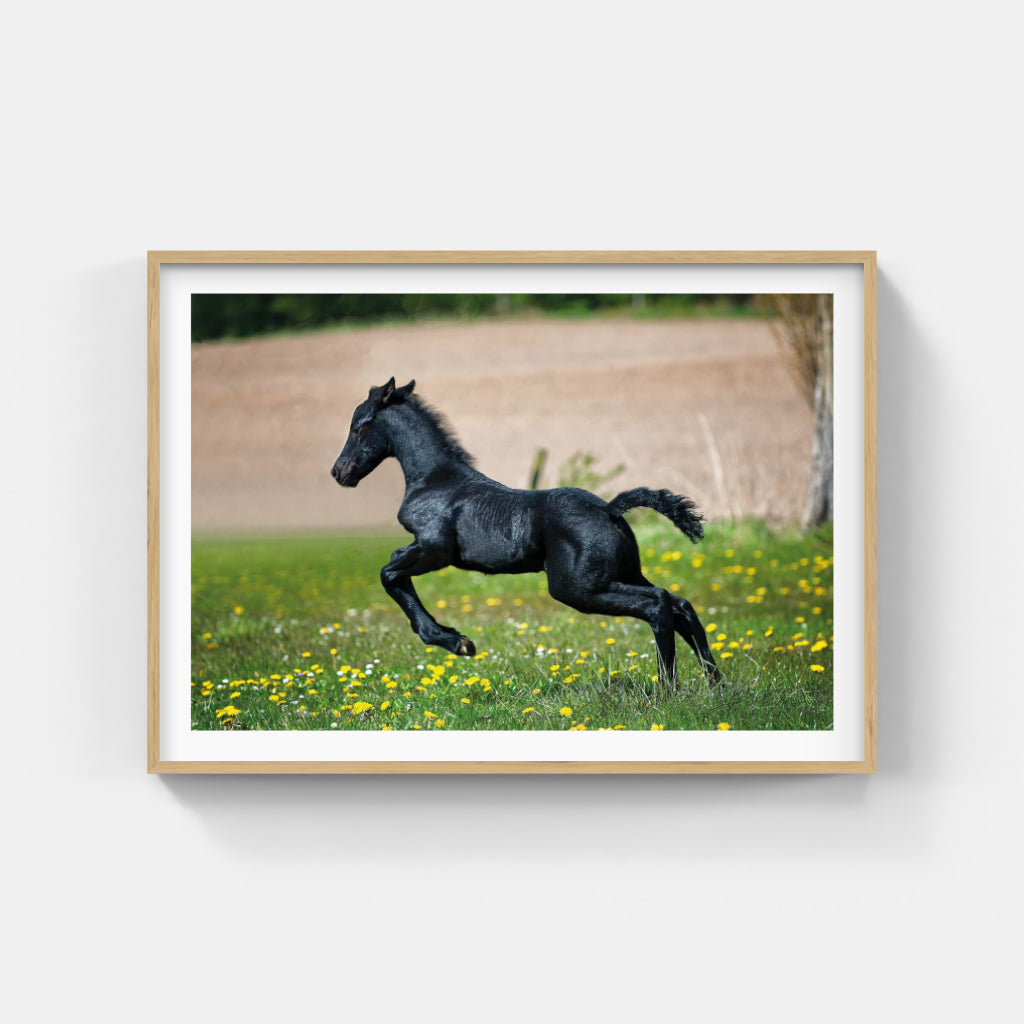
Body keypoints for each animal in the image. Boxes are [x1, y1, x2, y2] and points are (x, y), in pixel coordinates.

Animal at [330, 378, 719, 684]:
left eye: (358, 426)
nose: (339, 472)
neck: (435, 480)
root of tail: (610, 509)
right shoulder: (423, 549)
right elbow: (394, 569)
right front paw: (455, 638)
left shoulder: (435, 550)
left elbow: (389, 572)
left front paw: (457, 642)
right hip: (622, 573)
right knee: (680, 603)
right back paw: (714, 683)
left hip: (578, 588)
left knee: (658, 604)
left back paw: (668, 687)